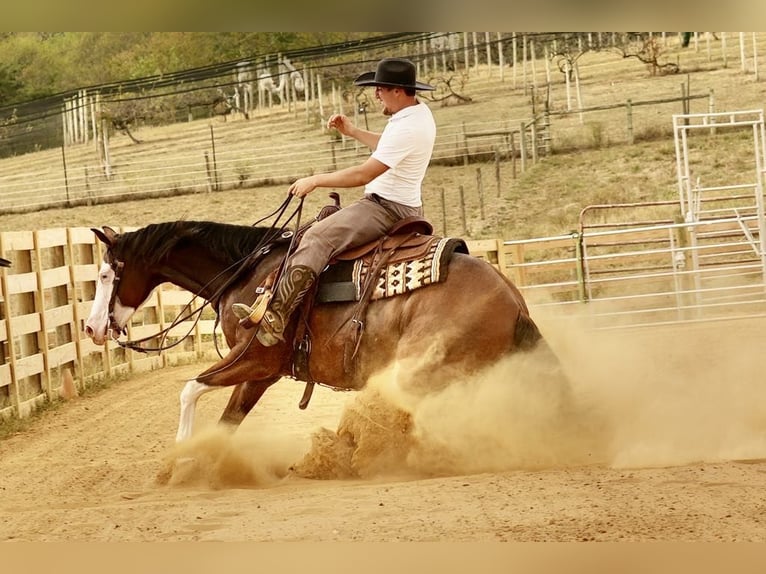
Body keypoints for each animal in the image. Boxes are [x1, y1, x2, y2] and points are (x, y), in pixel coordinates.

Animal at [84, 220, 568, 446]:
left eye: (107, 274)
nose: (91, 327)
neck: (249, 272)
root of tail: (513, 299)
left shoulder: (255, 357)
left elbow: (189, 388)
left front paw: (180, 453)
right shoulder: (262, 372)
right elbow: (228, 420)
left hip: (425, 369)